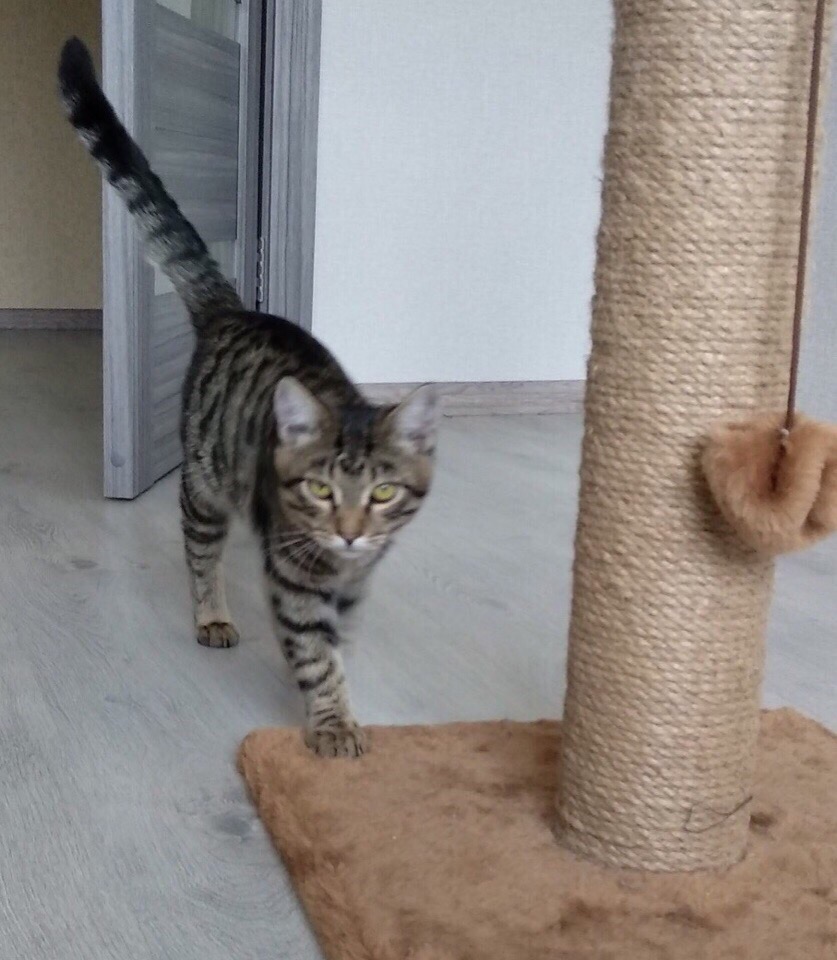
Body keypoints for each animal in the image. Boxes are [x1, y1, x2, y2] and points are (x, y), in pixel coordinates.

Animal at [58, 37, 438, 758]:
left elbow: (338, 641)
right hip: (205, 487)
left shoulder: (355, 581)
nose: (350, 533)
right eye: (319, 490)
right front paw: (333, 723)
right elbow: (315, 653)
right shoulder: (294, 573)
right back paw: (211, 614)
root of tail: (232, 310)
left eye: (382, 492)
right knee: (199, 554)